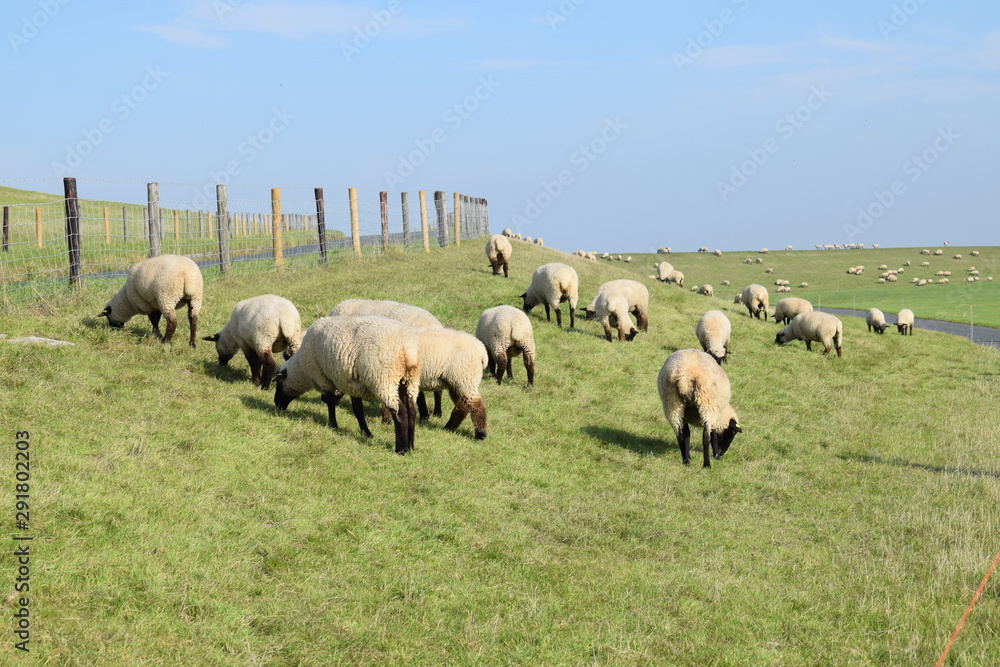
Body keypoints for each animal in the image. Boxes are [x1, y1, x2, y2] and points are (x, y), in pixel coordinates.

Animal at [273, 315, 420, 454]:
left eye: (279, 383)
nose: (276, 403)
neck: (302, 370)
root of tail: (408, 350)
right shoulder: (353, 384)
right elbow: (358, 410)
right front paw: (366, 433)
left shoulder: (323, 378)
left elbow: (331, 403)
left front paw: (333, 425)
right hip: (409, 381)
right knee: (411, 411)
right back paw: (411, 446)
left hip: (384, 380)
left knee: (400, 412)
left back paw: (401, 449)